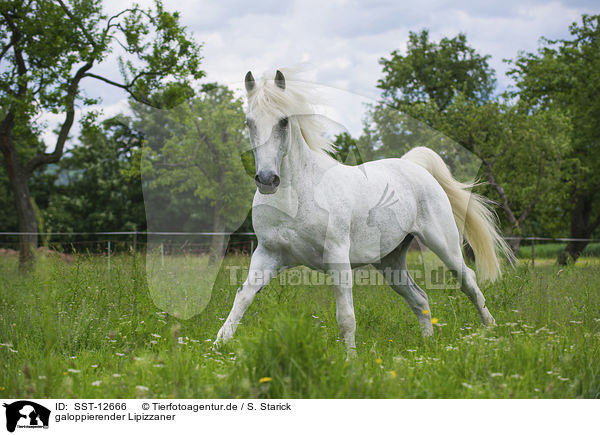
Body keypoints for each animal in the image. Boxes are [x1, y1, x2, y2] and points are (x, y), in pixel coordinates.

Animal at [216, 69, 510, 354]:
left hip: (444, 245)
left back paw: (491, 333)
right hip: (391, 262)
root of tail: (414, 167)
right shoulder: (267, 254)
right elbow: (242, 298)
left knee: (469, 282)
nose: (267, 180)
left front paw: (351, 360)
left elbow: (346, 317)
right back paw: (429, 345)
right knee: (420, 298)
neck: (296, 198)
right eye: (249, 122)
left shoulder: (336, 256)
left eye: (284, 121)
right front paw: (218, 346)